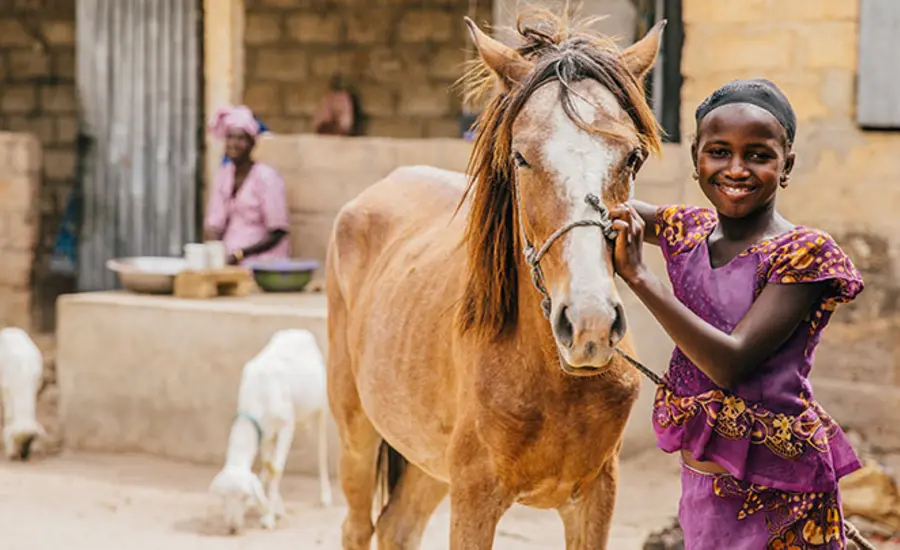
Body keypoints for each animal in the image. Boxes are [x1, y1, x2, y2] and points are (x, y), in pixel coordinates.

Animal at [326, 11, 665, 549]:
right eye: (521, 157)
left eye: (632, 157)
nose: (588, 325)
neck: (551, 375)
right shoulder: (475, 497)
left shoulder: (596, 496)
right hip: (356, 431)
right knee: (357, 527)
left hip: (428, 464)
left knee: (397, 527)